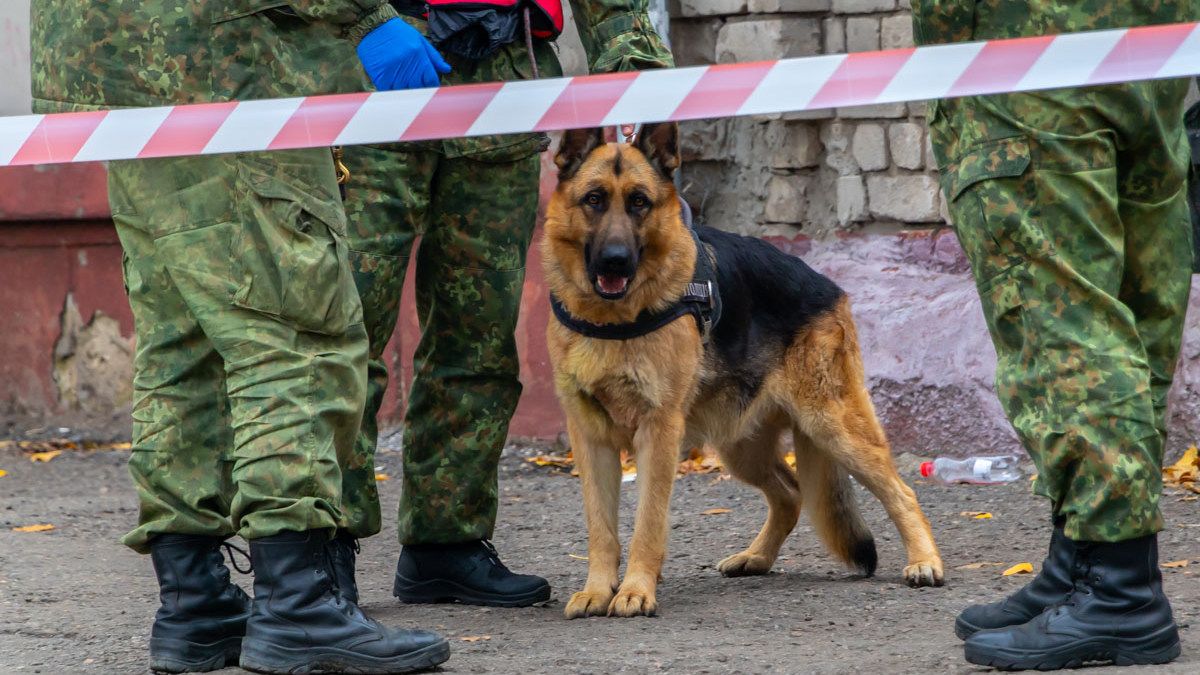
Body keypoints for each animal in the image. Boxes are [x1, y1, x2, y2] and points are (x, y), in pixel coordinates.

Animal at [544, 123, 945, 619]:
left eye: (639, 202)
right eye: (594, 199)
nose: (615, 260)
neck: (611, 321)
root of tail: (827, 285)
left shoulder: (658, 433)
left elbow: (647, 523)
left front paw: (636, 589)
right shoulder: (590, 439)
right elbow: (601, 528)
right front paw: (599, 590)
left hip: (833, 426)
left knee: (900, 491)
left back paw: (924, 561)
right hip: (741, 446)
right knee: (791, 493)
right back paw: (756, 557)